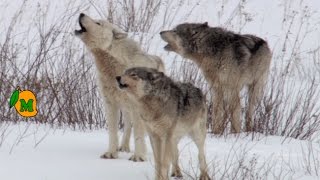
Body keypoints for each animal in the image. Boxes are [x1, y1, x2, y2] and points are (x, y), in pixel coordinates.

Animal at [74, 13, 165, 161]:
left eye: (98, 23)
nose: (81, 13)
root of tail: (158, 59)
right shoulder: (110, 104)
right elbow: (113, 131)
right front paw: (111, 153)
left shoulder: (137, 107)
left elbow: (139, 133)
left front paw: (138, 157)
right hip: (126, 108)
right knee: (128, 126)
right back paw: (124, 147)